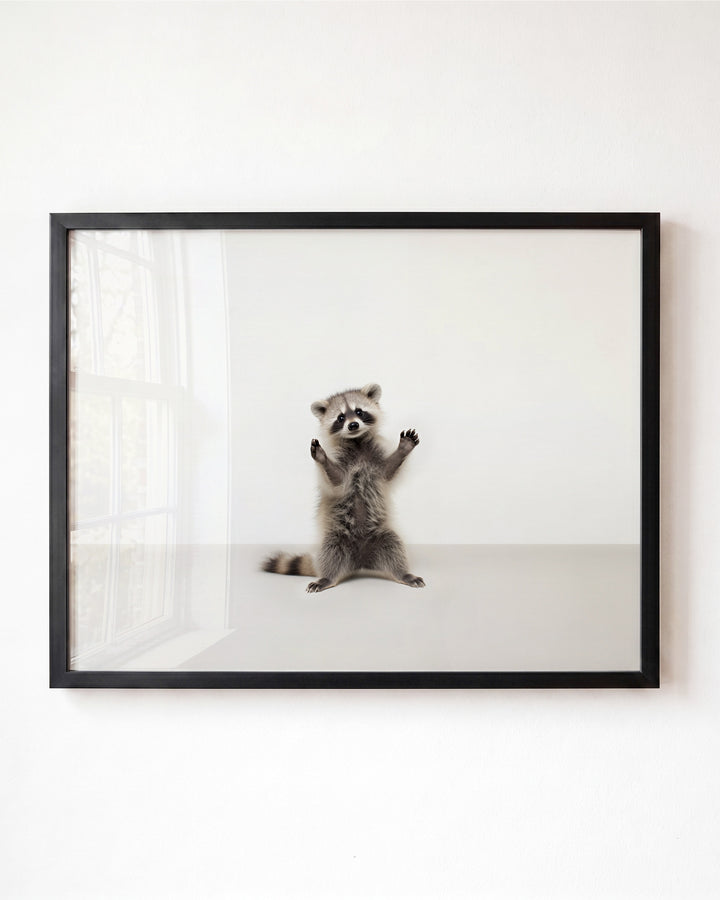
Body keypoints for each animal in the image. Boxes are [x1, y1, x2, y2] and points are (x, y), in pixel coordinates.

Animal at [262, 383, 425, 593]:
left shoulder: (375, 458)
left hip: (382, 535)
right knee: (330, 552)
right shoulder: (341, 462)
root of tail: (361, 562)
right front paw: (323, 459)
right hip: (336, 537)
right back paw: (327, 578)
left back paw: (403, 573)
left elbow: (388, 472)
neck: (357, 442)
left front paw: (403, 449)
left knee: (394, 546)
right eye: (340, 418)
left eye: (359, 412)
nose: (353, 425)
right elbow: (337, 481)